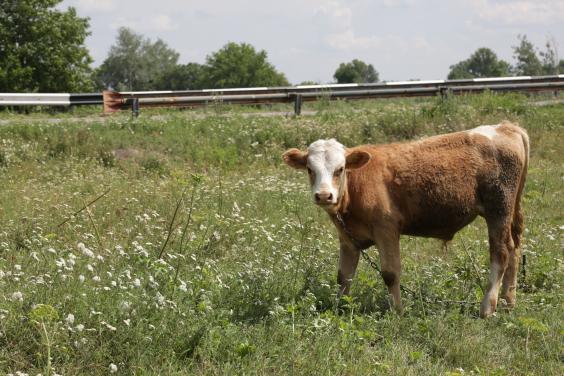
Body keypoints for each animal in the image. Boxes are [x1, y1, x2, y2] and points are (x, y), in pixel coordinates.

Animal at [284, 121, 532, 318]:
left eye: (340, 168)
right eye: (310, 169)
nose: (324, 195)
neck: (356, 187)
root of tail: (505, 126)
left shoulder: (387, 230)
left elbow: (390, 274)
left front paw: (398, 311)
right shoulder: (347, 239)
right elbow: (344, 277)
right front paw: (340, 308)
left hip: (498, 210)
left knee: (501, 252)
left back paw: (487, 308)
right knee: (514, 249)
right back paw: (509, 303)